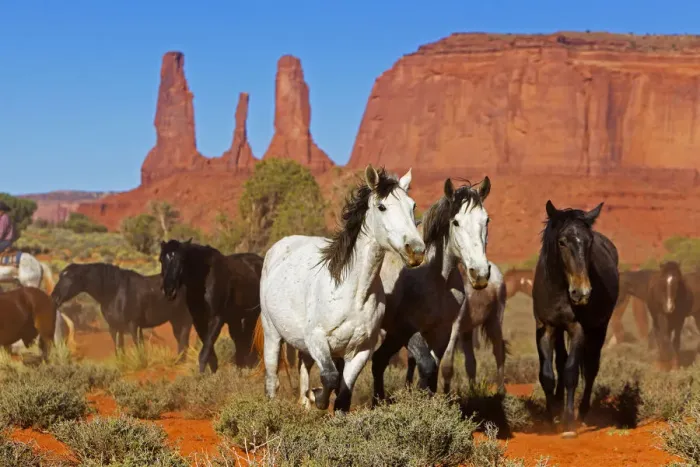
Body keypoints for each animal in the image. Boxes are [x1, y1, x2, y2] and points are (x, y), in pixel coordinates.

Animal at [52, 262, 194, 359]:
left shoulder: (133, 325)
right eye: (60, 276)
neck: (114, 292)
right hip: (175, 320)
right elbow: (119, 348)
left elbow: (138, 346)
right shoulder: (115, 327)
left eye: (70, 278)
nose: (54, 296)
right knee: (181, 341)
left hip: (185, 319)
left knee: (184, 340)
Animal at [159, 240, 263, 373]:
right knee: (240, 341)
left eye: (182, 260)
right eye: (161, 259)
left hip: (252, 316)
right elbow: (209, 351)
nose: (169, 290)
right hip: (235, 319)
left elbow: (205, 350)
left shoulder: (216, 319)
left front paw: (202, 375)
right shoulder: (199, 322)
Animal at [258, 165, 425, 412]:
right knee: (272, 380)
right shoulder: (316, 339)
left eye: (412, 205)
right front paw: (318, 397)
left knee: (303, 366)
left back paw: (304, 401)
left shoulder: (361, 351)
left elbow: (343, 394)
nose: (416, 250)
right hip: (272, 334)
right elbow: (330, 377)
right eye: (382, 206)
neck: (353, 293)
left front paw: (318, 399)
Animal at [371, 176, 505, 405]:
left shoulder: (442, 331)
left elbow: (434, 374)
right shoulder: (409, 328)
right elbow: (427, 367)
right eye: (456, 222)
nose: (479, 273)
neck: (435, 277)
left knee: (378, 361)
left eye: (486, 220)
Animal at [533, 200, 619, 439]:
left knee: (590, 369)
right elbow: (547, 374)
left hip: (600, 328)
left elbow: (571, 372)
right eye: (562, 242)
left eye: (589, 242)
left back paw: (582, 413)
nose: (582, 293)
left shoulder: (578, 329)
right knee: (561, 362)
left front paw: (569, 423)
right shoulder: (546, 328)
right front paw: (552, 418)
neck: (559, 289)